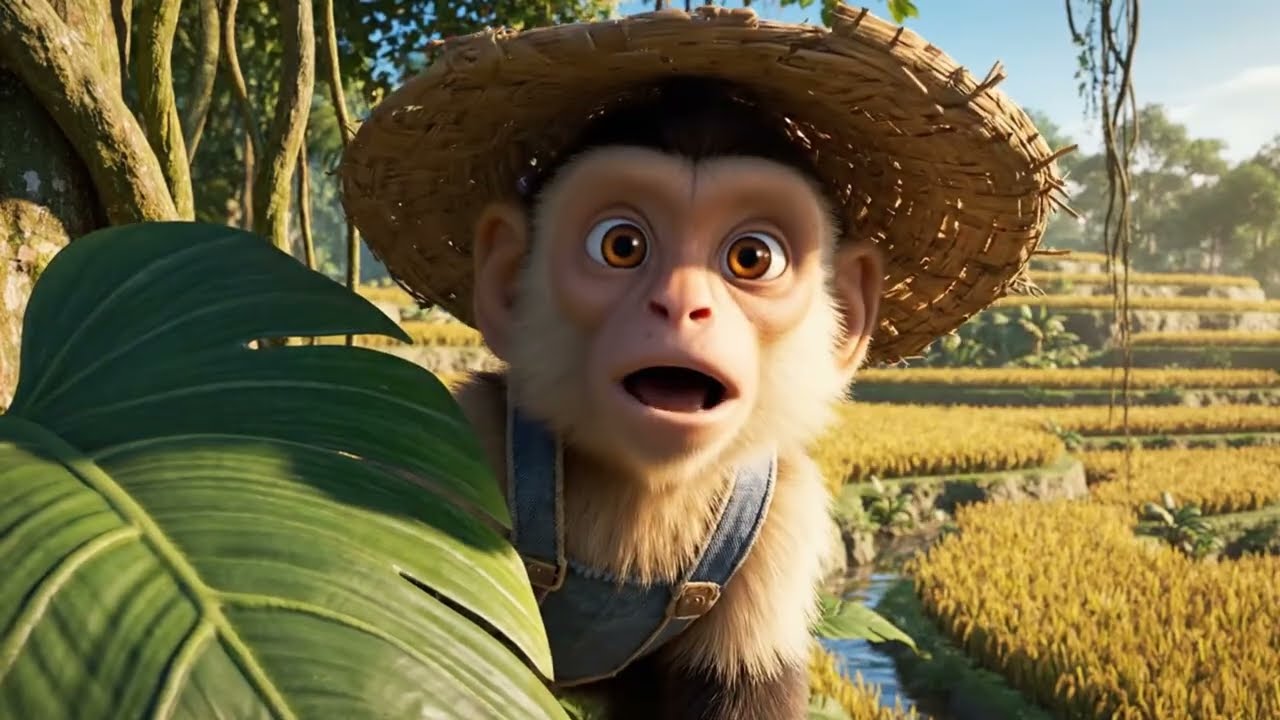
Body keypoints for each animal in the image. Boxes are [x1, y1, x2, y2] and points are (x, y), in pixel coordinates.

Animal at [447, 76, 885, 720]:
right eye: (621, 245)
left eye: (753, 257)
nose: (682, 305)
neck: (646, 493)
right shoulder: (468, 434)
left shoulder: (790, 507)